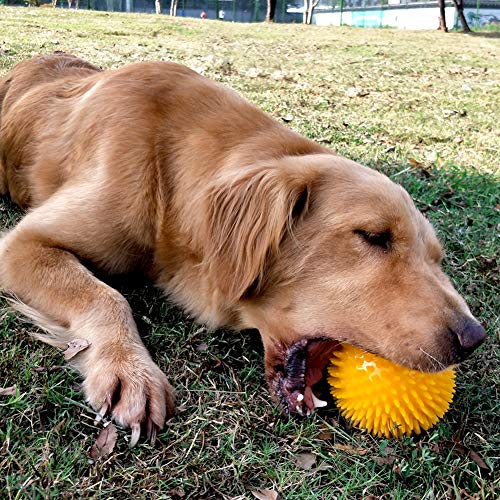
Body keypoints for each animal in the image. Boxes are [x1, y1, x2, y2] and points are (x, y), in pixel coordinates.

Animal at [0, 53, 484, 446]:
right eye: (374, 236)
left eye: (436, 259)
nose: (474, 339)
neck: (170, 180)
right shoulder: (22, 243)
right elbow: (105, 295)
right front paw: (128, 370)